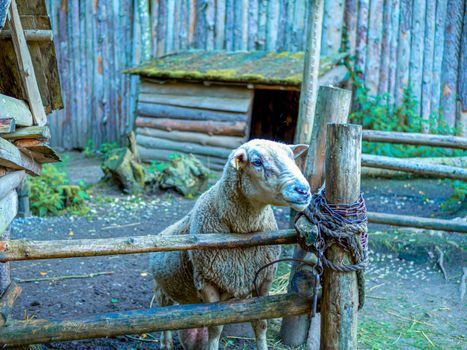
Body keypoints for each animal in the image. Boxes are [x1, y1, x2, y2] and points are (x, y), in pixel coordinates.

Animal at [150, 139, 310, 350]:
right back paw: (165, 343)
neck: (241, 234)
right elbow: (216, 326)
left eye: (292, 158)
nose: (303, 191)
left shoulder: (263, 280)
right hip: (161, 288)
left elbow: (261, 322)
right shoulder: (206, 280)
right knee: (164, 314)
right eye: (257, 162)